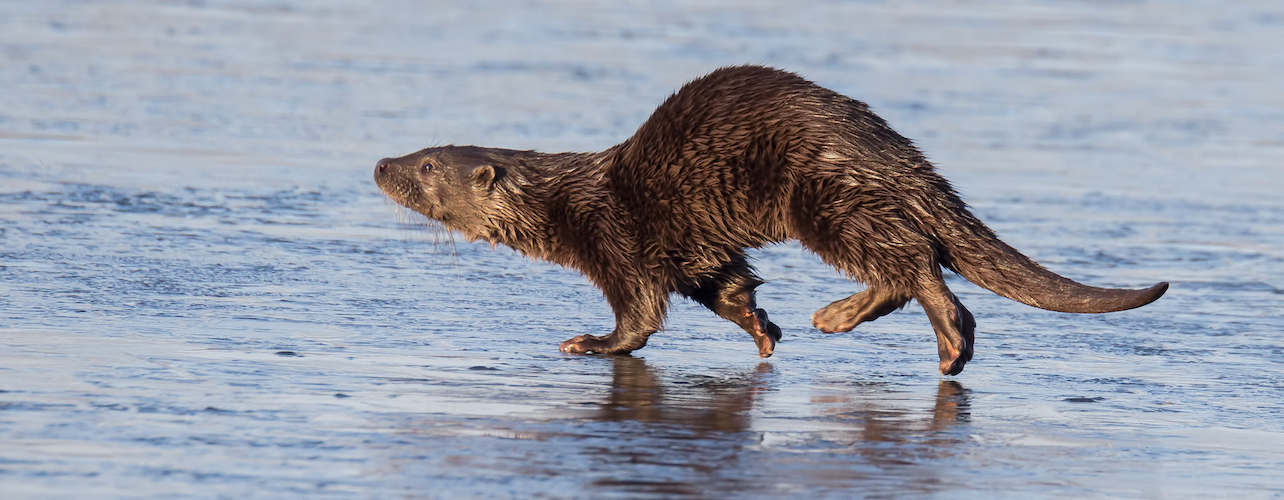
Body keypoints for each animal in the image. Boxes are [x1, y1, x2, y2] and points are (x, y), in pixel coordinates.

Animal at [369, 64, 1165, 372]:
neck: (565, 199)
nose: (379, 164)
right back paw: (837, 321)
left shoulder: (617, 242)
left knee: (916, 266)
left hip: (826, 197)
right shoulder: (696, 254)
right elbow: (726, 287)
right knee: (910, 262)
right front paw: (762, 330)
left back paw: (925, 340)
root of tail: (896, 154)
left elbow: (639, 318)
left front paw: (589, 343)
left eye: (426, 168)